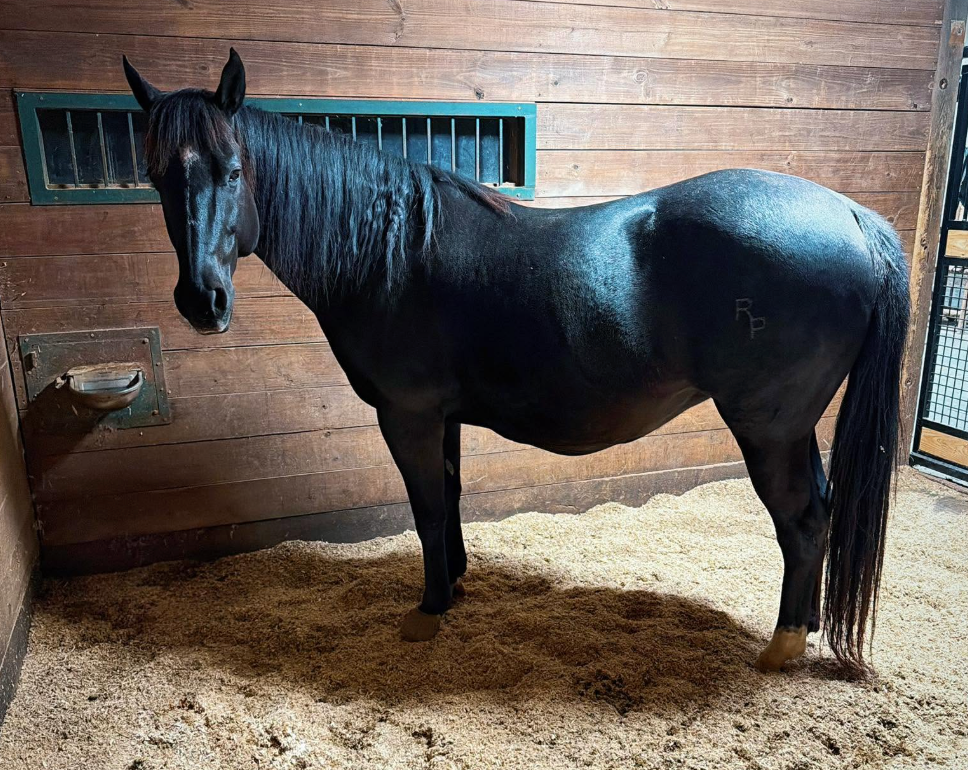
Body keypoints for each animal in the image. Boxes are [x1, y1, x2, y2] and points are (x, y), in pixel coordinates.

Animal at [122, 50, 909, 674]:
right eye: (157, 177)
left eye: (232, 171)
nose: (202, 301)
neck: (389, 251)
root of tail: (853, 218)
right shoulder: (440, 418)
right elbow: (448, 501)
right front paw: (456, 588)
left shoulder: (407, 415)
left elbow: (426, 509)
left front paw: (428, 610)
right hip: (793, 427)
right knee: (819, 512)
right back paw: (807, 625)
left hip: (768, 426)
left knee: (802, 521)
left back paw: (782, 646)